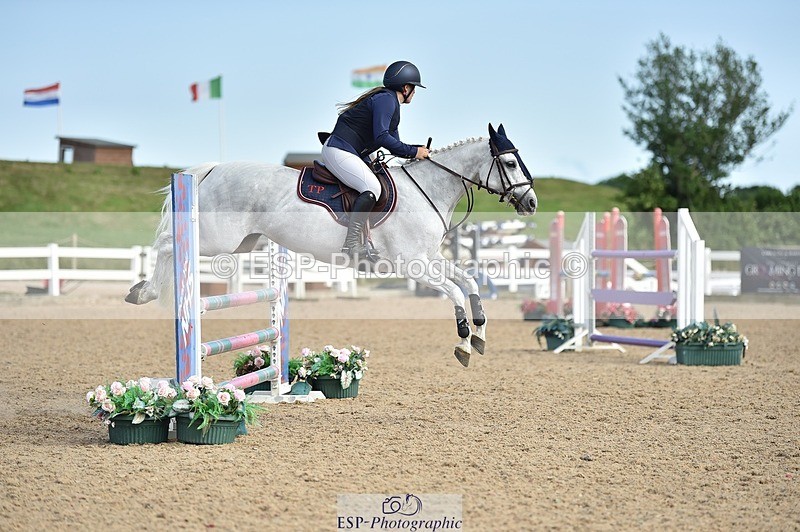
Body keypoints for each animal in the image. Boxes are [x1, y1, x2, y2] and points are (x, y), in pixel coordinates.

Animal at [126, 123, 538, 367]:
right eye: (510, 164)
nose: (531, 203)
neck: (428, 189)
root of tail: (213, 169)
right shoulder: (412, 265)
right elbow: (453, 290)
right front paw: (464, 344)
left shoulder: (429, 259)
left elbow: (467, 282)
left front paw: (480, 333)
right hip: (217, 238)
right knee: (167, 243)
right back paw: (143, 291)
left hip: (243, 242)